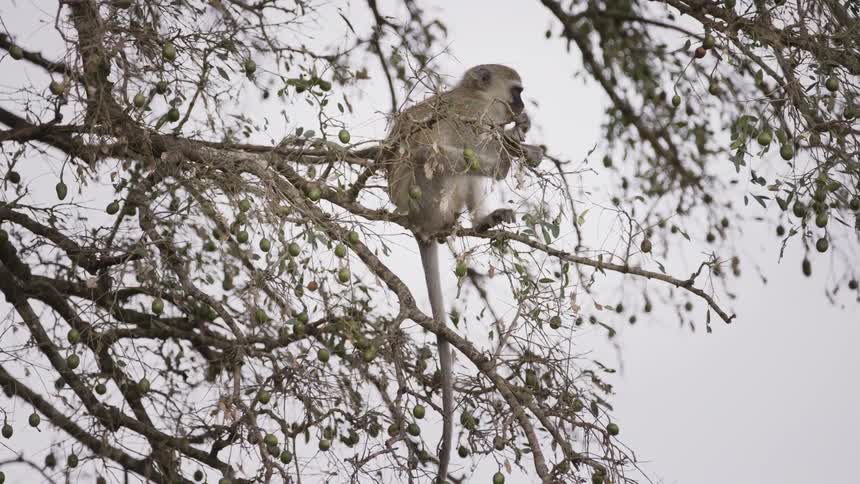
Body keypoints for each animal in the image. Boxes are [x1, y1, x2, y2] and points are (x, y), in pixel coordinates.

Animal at [381, 64, 542, 482]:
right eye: (517, 91)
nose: (521, 106)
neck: (477, 99)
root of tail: (417, 224)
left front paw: (523, 137)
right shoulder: (474, 118)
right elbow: (473, 148)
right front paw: (516, 147)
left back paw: (484, 220)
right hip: (425, 195)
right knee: (435, 155)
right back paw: (499, 166)